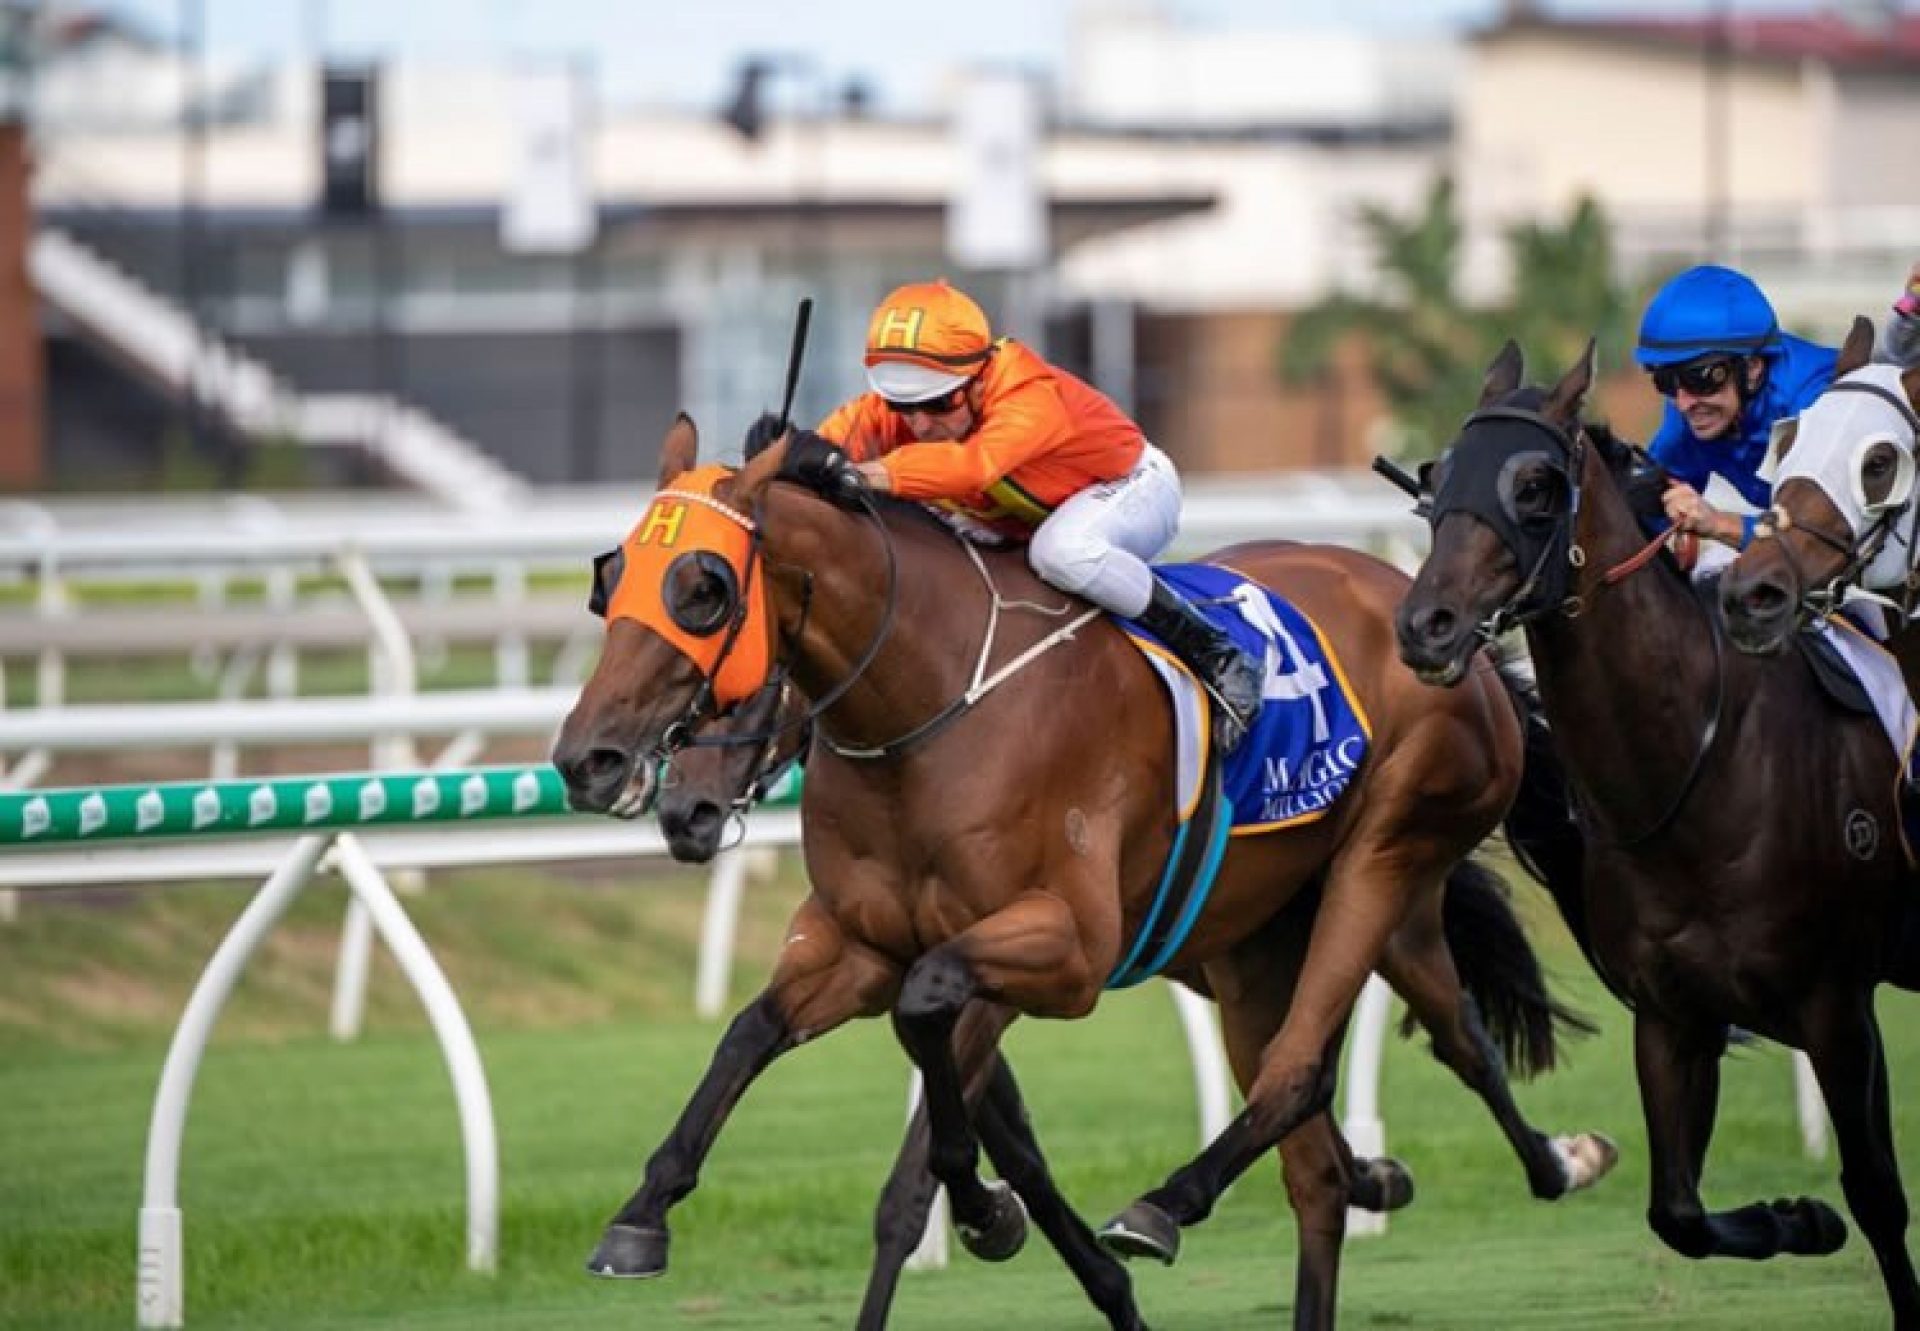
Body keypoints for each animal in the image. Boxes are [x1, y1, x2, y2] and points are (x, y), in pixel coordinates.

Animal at [552, 411, 1605, 1321]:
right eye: (610, 581)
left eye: (703, 590)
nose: (589, 759)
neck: (934, 700)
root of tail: (1449, 628)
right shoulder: (861, 942)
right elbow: (751, 1034)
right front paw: (639, 1218)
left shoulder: (1058, 950)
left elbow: (921, 1121)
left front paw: (983, 1214)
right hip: (1252, 949)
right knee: (1330, 1147)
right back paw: (1390, 1176)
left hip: (1386, 860)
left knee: (1344, 1064)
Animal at [1397, 339, 1920, 1321]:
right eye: (1437, 475)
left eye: (1534, 484)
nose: (1426, 626)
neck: (1702, 769)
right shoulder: (1673, 1015)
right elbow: (1676, 1210)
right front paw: (1798, 1218)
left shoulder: (1836, 1004)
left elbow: (1877, 1188)